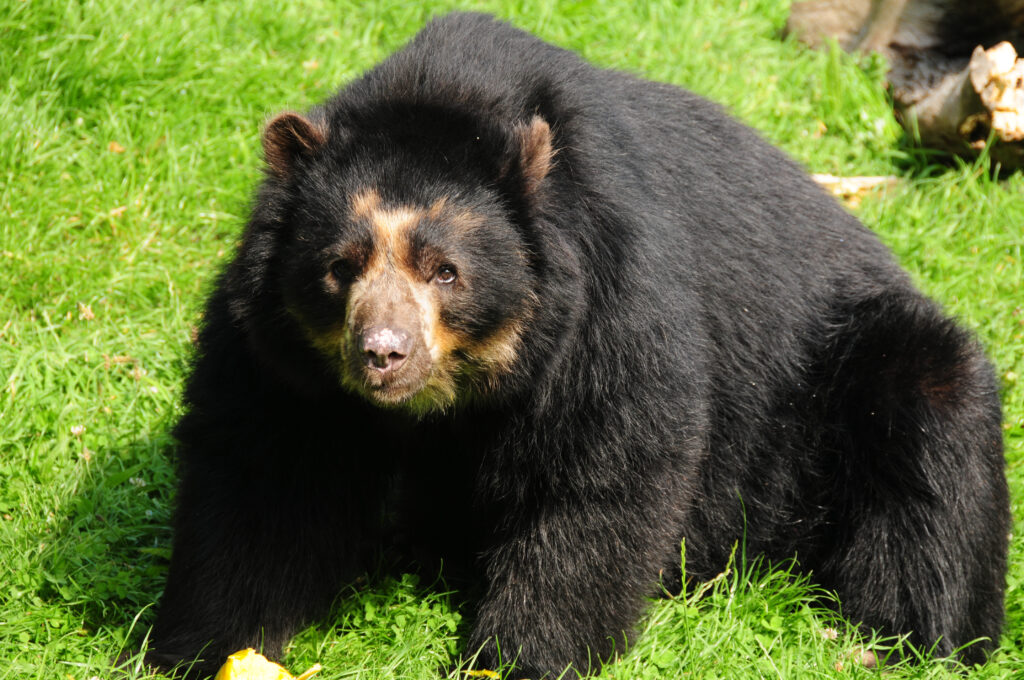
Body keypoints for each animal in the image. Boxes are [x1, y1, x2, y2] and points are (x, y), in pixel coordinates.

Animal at [144, 10, 1007, 680]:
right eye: (340, 267)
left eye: (446, 271)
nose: (383, 353)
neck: (450, 398)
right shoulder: (277, 356)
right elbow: (260, 477)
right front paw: (204, 650)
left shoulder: (608, 305)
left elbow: (601, 474)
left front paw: (515, 658)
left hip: (853, 377)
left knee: (937, 452)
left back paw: (912, 640)